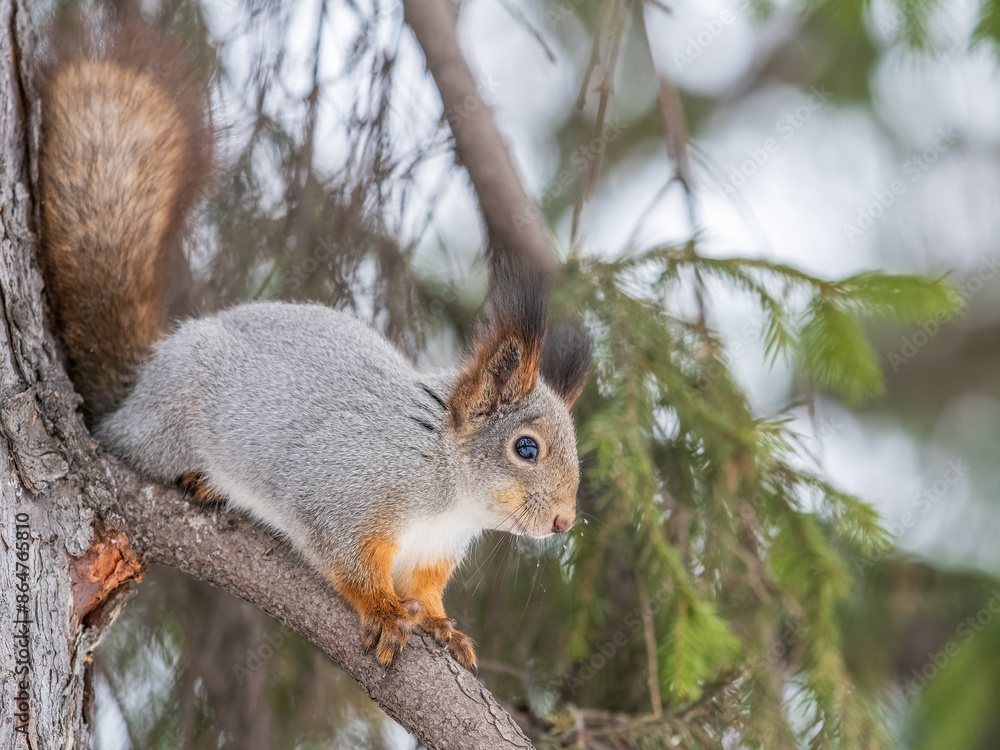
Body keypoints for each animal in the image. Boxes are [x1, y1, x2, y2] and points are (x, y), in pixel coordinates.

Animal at [36, 16, 590, 675]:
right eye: (526, 448)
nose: (563, 521)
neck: (450, 490)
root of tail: (141, 383)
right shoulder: (347, 492)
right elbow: (346, 559)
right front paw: (384, 612)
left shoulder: (432, 554)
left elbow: (426, 592)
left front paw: (442, 626)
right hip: (167, 420)